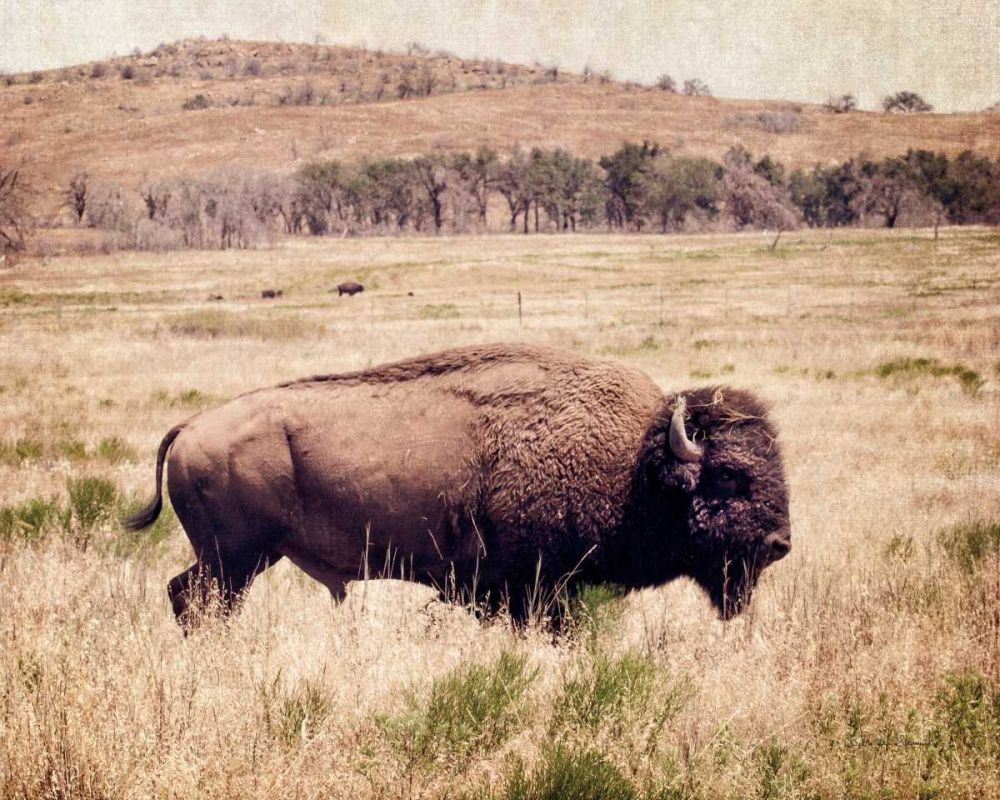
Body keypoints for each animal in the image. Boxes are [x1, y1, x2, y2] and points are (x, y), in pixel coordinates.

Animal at [126, 344, 790, 626]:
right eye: (728, 477)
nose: (780, 543)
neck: (633, 464)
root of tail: (192, 425)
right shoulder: (532, 589)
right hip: (235, 560)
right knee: (196, 601)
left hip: (236, 560)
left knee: (183, 595)